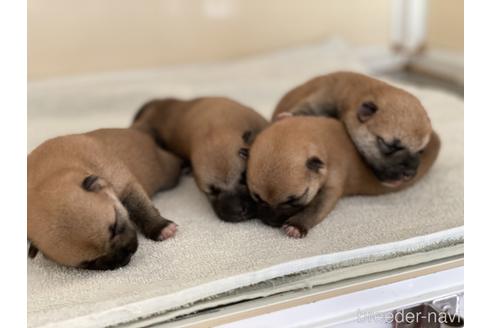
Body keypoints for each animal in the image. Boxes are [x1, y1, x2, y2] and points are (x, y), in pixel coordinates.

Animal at [27, 128, 181, 270]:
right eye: (90, 263)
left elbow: (141, 208)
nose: (125, 256)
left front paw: (161, 227)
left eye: (115, 227)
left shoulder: (126, 186)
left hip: (167, 171)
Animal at [248, 116, 440, 237]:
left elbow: (315, 208)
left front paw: (296, 226)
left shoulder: (331, 186)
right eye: (256, 197)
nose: (270, 222)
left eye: (295, 200)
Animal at [274, 71, 432, 187]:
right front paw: (288, 116)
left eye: (421, 151)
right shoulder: (323, 99)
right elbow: (309, 108)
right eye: (388, 145)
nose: (409, 174)